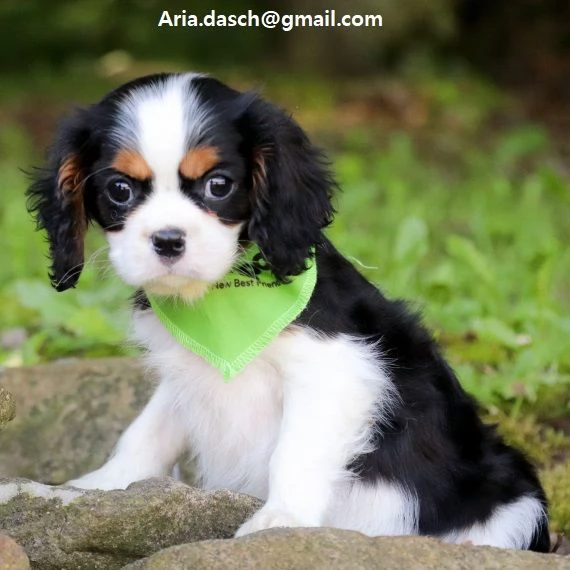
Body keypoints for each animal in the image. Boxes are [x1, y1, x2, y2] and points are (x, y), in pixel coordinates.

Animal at [26, 71, 544, 544]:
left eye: (218, 185)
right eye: (119, 190)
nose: (168, 240)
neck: (219, 302)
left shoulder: (333, 369)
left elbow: (296, 450)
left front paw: (282, 519)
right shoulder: (187, 370)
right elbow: (149, 428)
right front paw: (100, 486)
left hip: (515, 513)